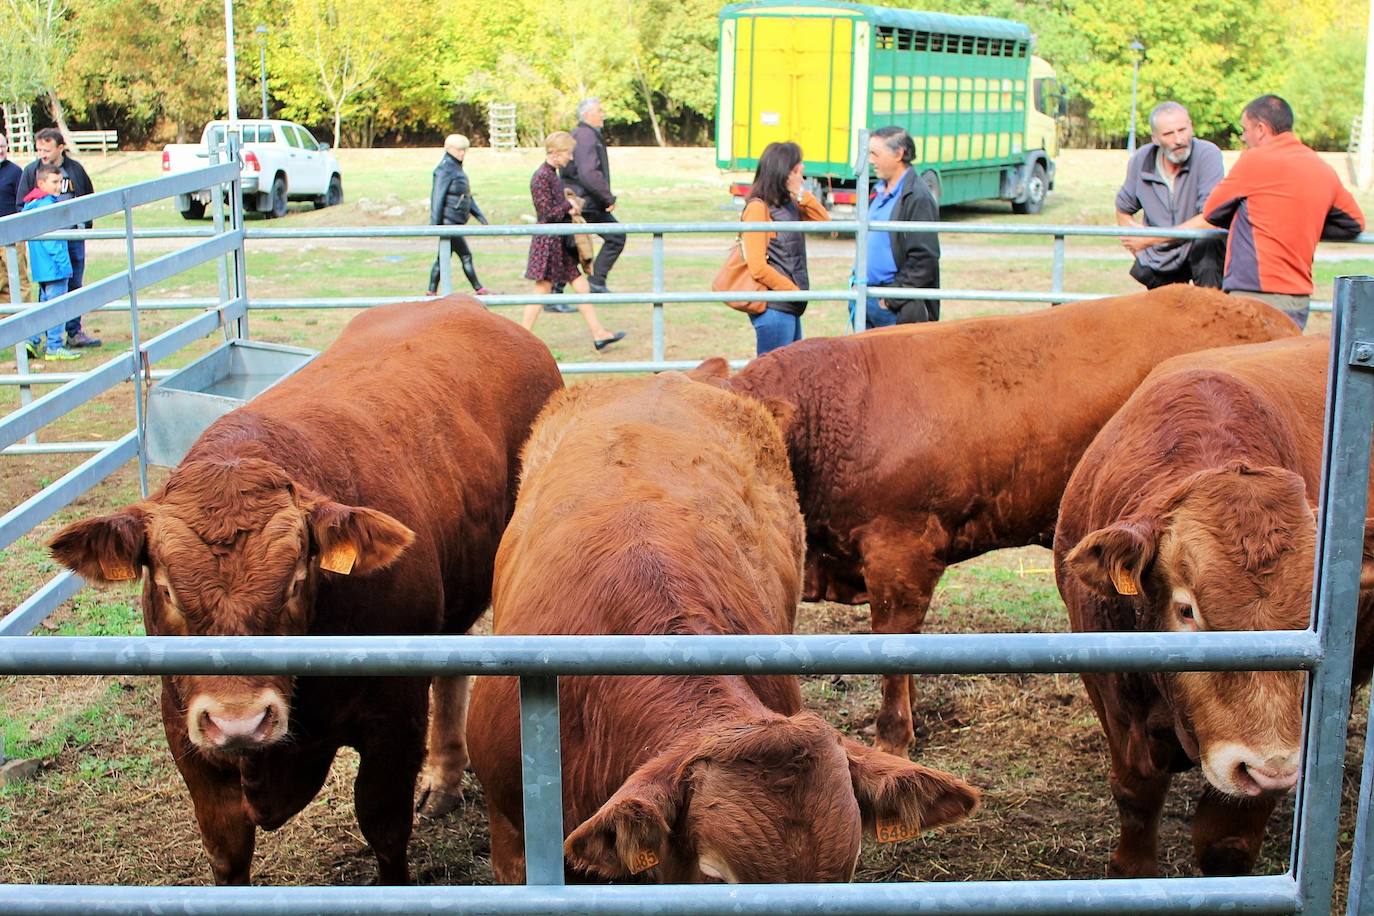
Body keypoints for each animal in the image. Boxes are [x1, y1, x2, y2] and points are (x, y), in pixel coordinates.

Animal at [47, 298, 563, 884]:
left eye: (296, 578)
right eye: (166, 588)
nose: (240, 721)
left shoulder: (394, 721)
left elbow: (384, 825)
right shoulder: (186, 733)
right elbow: (226, 852)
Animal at [1055, 335, 1368, 873]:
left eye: (1313, 623)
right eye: (1187, 610)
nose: (1267, 768)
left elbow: (1225, 838)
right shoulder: (1111, 697)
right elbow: (1136, 794)